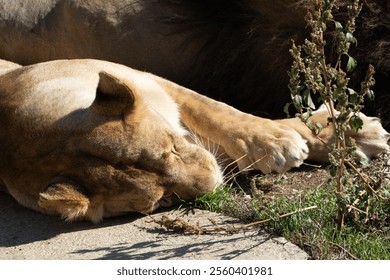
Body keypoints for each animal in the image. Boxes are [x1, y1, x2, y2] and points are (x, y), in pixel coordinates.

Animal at [0, 58, 388, 222]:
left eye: (172, 149)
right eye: (162, 201)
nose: (215, 184)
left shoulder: (147, 78)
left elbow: (220, 112)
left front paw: (353, 131)